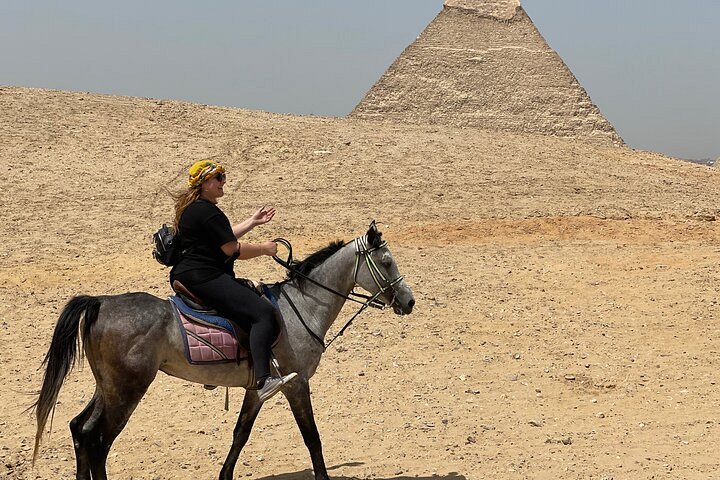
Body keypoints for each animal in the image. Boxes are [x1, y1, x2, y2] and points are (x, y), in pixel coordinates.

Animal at [32, 222, 415, 480]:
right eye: (387, 262)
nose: (409, 301)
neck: (302, 307)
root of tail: (101, 302)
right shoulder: (296, 384)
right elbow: (312, 438)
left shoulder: (257, 389)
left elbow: (240, 434)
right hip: (127, 389)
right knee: (98, 441)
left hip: (108, 387)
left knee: (80, 430)